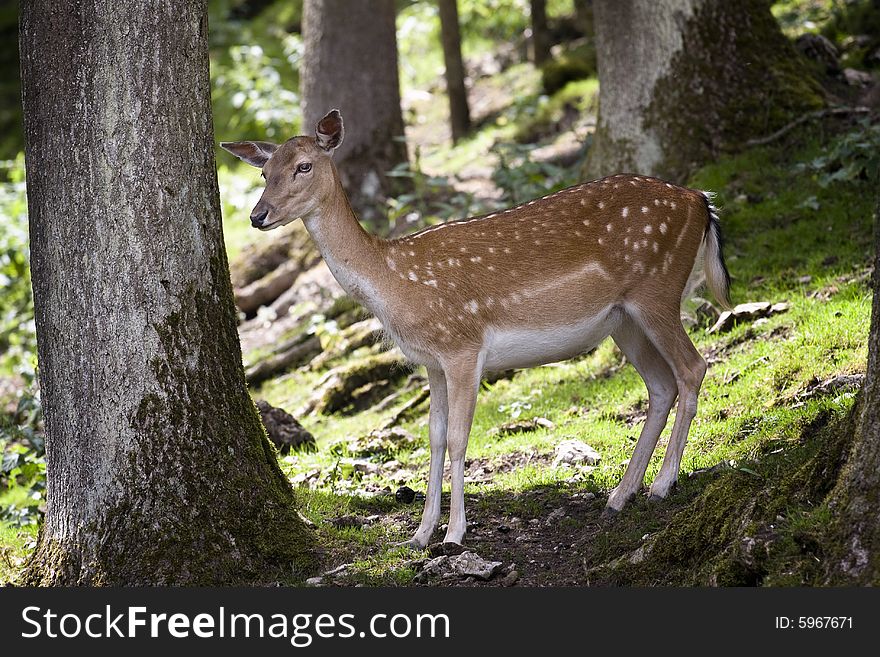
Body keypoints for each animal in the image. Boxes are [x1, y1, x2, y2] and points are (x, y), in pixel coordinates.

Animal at [223, 109, 732, 548]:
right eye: (265, 173)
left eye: (304, 166)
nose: (257, 215)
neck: (395, 282)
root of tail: (700, 201)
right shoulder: (430, 362)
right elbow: (432, 437)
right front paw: (420, 534)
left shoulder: (463, 346)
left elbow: (457, 437)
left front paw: (454, 534)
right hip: (623, 320)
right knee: (661, 385)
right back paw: (620, 496)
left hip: (657, 290)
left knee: (692, 367)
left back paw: (661, 485)